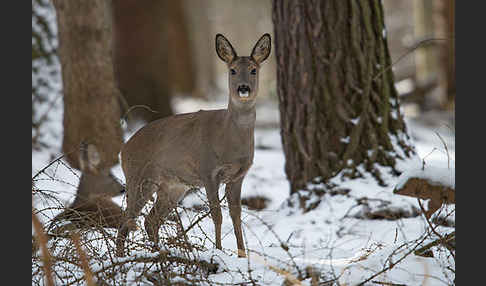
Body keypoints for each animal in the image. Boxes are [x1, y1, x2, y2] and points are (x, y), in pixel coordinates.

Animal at [115, 33, 272, 256]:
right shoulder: (208, 171)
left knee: (150, 221)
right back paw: (121, 257)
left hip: (173, 186)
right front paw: (218, 250)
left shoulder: (238, 176)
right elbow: (217, 214)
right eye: (232, 70)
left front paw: (242, 254)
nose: (243, 88)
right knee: (126, 220)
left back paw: (159, 252)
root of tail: (123, 149)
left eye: (253, 69)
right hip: (138, 177)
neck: (229, 140)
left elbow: (236, 215)